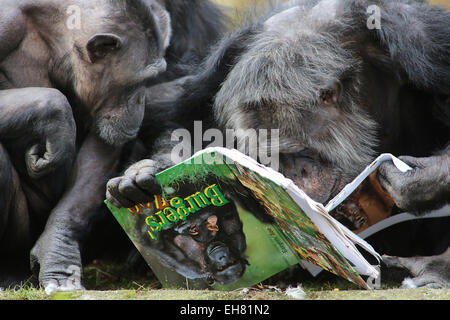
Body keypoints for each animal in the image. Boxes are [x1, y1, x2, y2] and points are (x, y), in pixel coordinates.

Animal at [0, 0, 224, 290]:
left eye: (151, 79)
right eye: (138, 81)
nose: (142, 99)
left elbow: (102, 146)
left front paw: (58, 250)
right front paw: (53, 113)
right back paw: (9, 271)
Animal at [108, 0, 450, 288]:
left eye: (298, 150)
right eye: (270, 156)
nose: (293, 173)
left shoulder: (420, 39)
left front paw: (422, 179)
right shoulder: (219, 68)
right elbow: (185, 117)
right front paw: (142, 175)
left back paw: (431, 269)